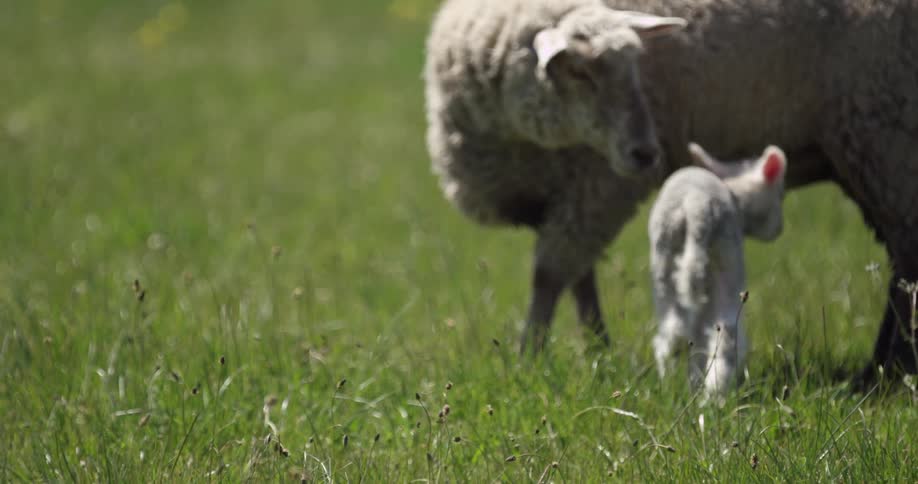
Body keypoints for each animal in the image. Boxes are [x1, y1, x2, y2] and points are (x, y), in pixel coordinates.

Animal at [424, 0, 687, 352]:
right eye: (578, 71)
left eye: (635, 67)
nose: (646, 153)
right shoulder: (561, 192)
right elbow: (577, 275)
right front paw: (593, 346)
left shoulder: (596, 187)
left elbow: (548, 274)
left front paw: (532, 352)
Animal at [650, 143, 787, 396]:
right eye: (780, 194)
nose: (779, 229)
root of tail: (695, 205)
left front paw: (693, 380)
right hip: (726, 262)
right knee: (726, 334)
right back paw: (717, 395)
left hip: (664, 263)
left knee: (674, 332)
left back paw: (672, 386)